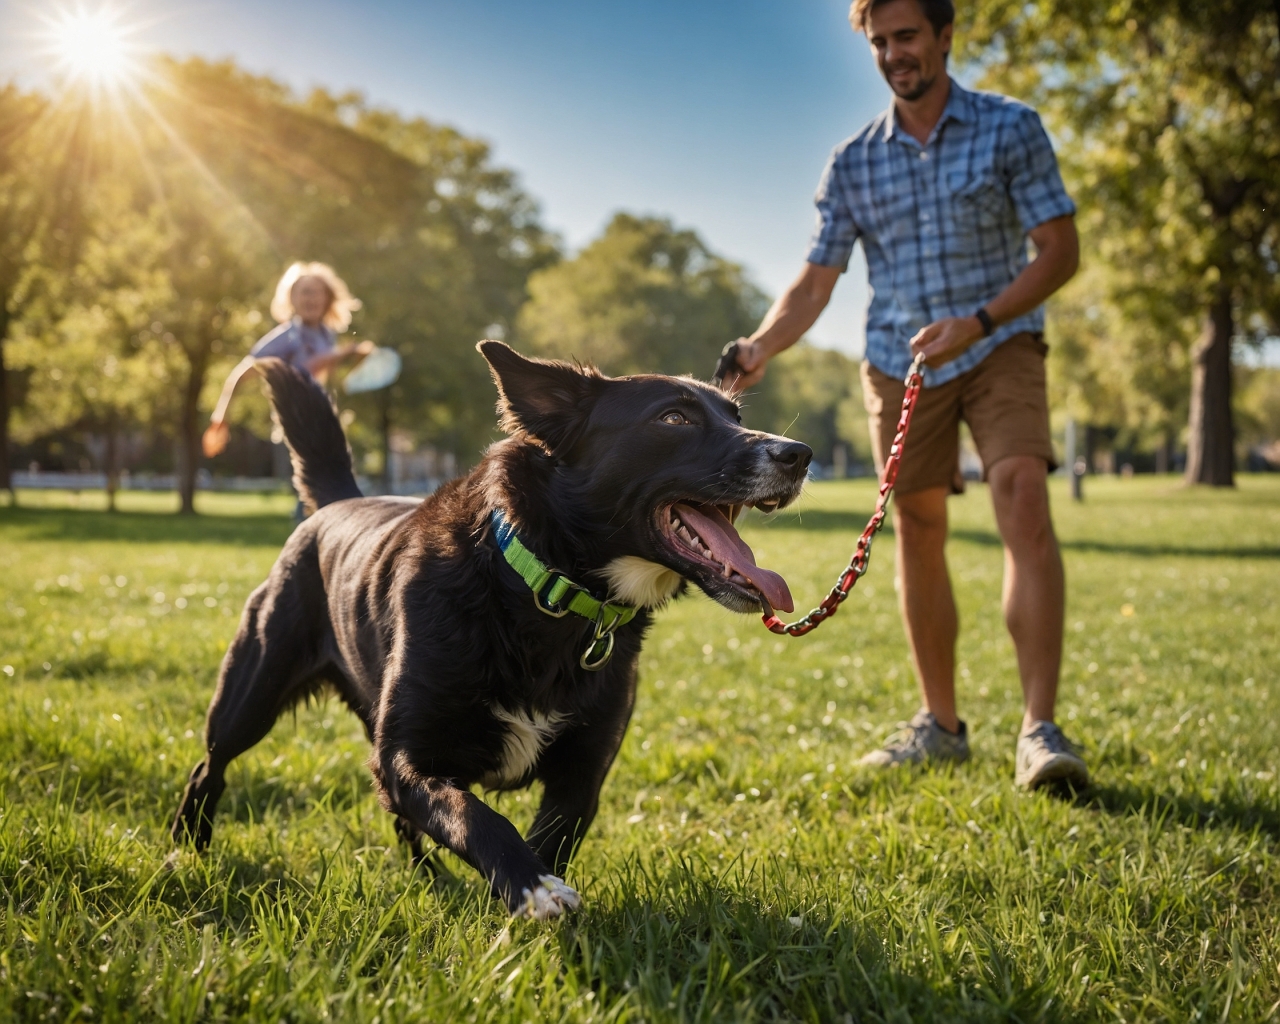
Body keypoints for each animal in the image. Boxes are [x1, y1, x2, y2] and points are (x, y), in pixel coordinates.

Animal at [172, 343, 808, 921]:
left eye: (736, 415)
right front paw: (534, 891)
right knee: (209, 769)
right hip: (248, 696)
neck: (543, 587)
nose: (798, 454)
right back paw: (185, 856)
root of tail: (336, 504)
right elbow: (477, 817)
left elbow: (546, 836)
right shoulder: (408, 759)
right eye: (674, 418)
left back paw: (431, 881)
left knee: (400, 823)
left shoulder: (582, 773)